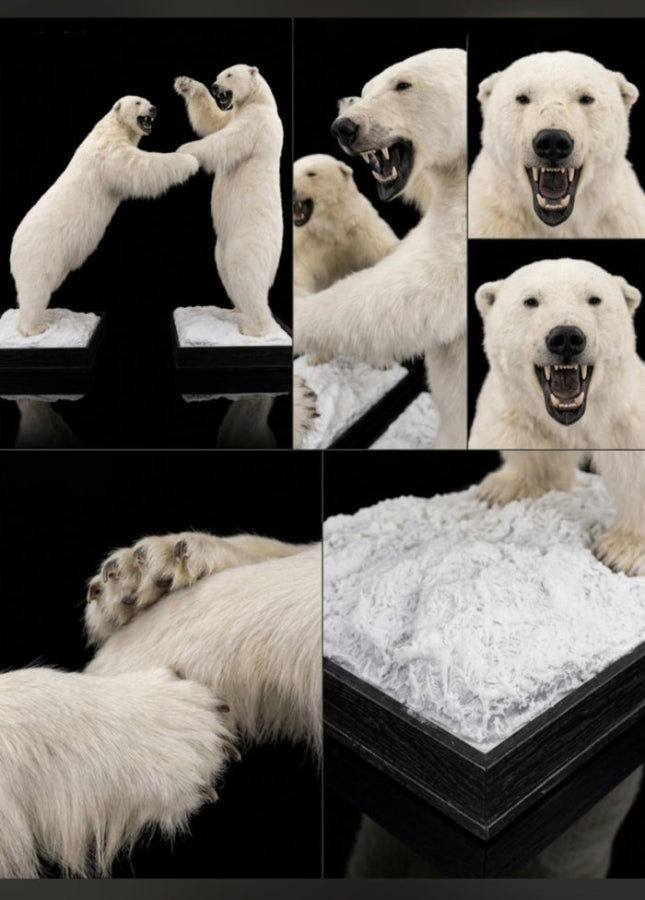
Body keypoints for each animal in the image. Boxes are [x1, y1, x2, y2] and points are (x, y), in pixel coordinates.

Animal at [10, 96, 199, 337]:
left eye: (147, 101)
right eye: (138, 102)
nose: (153, 109)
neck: (111, 127)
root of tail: (14, 249)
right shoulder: (109, 152)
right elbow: (141, 165)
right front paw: (190, 159)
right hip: (40, 252)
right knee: (35, 288)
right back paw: (34, 328)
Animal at [175, 65, 284, 338]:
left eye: (229, 75)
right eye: (218, 75)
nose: (215, 86)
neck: (260, 101)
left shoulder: (257, 122)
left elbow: (226, 140)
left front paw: (184, 150)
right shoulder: (233, 114)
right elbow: (213, 121)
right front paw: (186, 83)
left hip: (248, 238)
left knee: (246, 274)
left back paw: (254, 328)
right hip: (220, 248)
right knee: (226, 272)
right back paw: (233, 310)